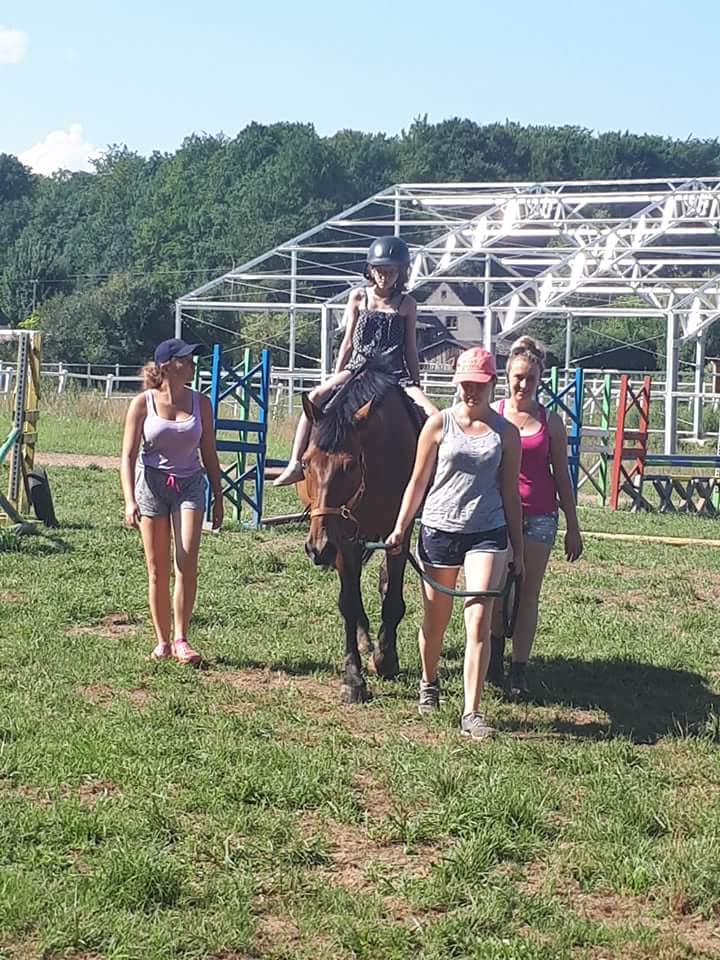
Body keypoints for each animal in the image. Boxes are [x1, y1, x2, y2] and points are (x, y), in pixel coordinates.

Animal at [298, 362, 424, 704]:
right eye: (306, 463)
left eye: (350, 465)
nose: (317, 548)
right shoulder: (343, 540)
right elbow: (349, 602)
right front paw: (353, 678)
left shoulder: (400, 532)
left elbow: (392, 597)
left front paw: (386, 660)